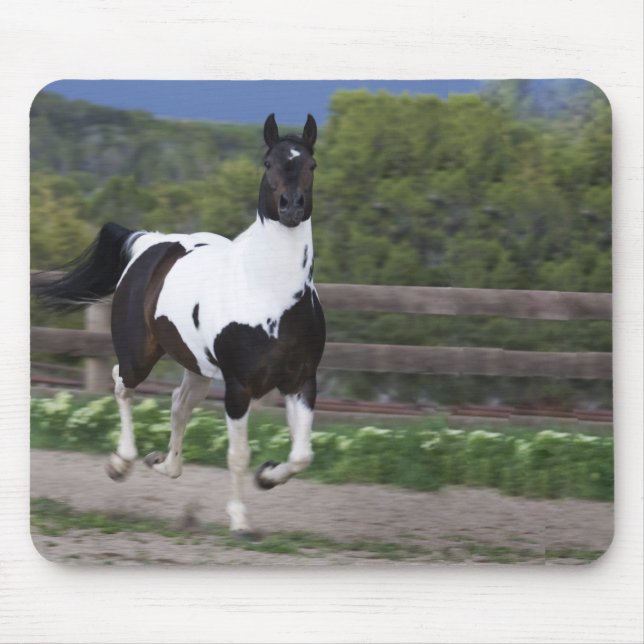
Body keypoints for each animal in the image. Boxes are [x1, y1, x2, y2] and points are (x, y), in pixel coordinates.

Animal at [34, 113, 326, 534]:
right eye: (269, 162)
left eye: (311, 164)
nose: (291, 207)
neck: (271, 294)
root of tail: (149, 243)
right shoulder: (238, 387)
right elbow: (238, 453)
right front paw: (240, 520)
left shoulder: (301, 382)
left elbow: (302, 455)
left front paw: (267, 476)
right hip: (139, 356)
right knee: (122, 384)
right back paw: (121, 463)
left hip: (198, 367)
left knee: (178, 403)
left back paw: (164, 464)